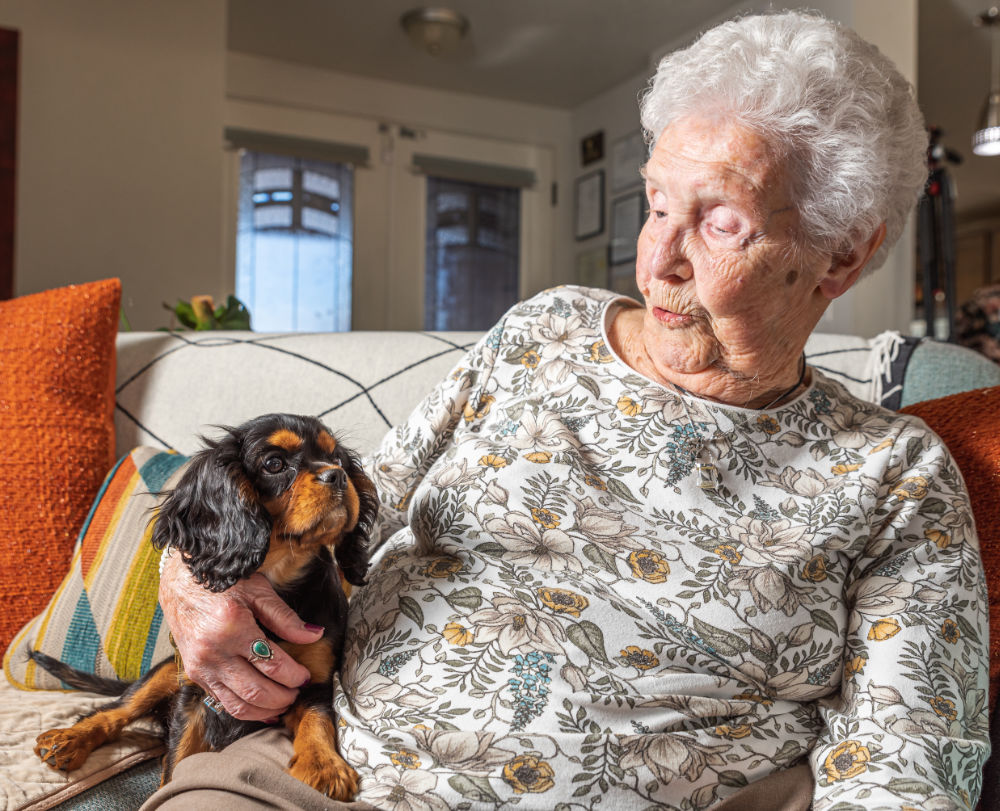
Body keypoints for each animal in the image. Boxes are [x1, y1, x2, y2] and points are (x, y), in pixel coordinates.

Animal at [31, 416, 376, 804]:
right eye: (274, 464)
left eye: (337, 459)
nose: (338, 476)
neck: (279, 575)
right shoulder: (198, 690)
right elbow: (178, 759)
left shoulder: (313, 680)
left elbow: (317, 719)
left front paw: (323, 765)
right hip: (169, 671)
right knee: (115, 711)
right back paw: (69, 739)